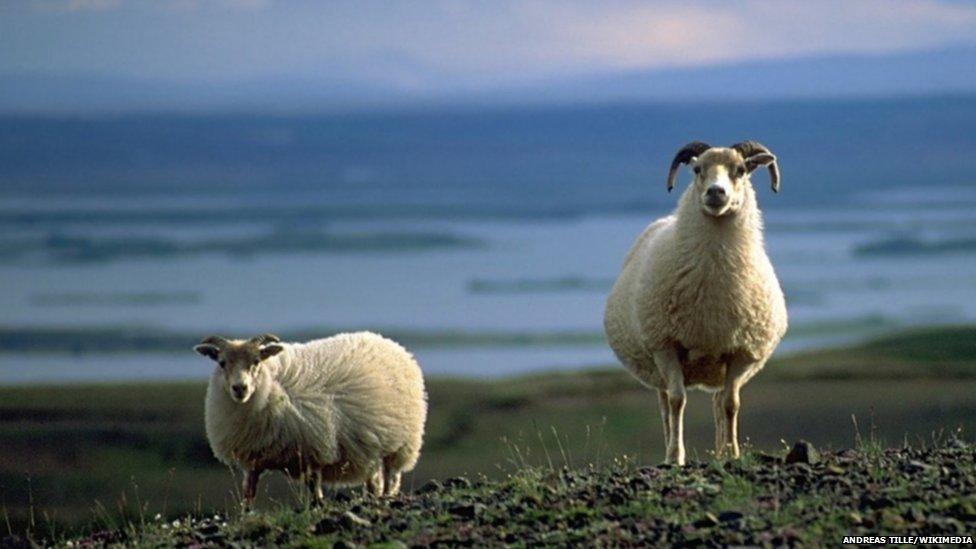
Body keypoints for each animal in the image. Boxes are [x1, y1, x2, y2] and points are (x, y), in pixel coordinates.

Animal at [194, 330, 428, 506]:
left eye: (256, 361)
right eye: (222, 363)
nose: (239, 388)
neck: (273, 386)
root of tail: (391, 343)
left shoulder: (313, 449)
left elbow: (315, 490)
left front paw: (317, 506)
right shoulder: (253, 460)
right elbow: (248, 495)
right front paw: (246, 514)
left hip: (400, 445)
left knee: (391, 477)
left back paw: (387, 497)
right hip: (370, 449)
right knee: (374, 481)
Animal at [608, 140, 788, 462]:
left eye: (740, 170)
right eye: (697, 169)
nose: (716, 193)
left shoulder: (740, 352)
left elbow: (731, 404)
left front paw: (732, 454)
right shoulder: (665, 345)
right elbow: (677, 401)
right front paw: (675, 456)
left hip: (721, 367)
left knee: (718, 402)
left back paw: (720, 450)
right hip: (655, 364)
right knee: (665, 406)